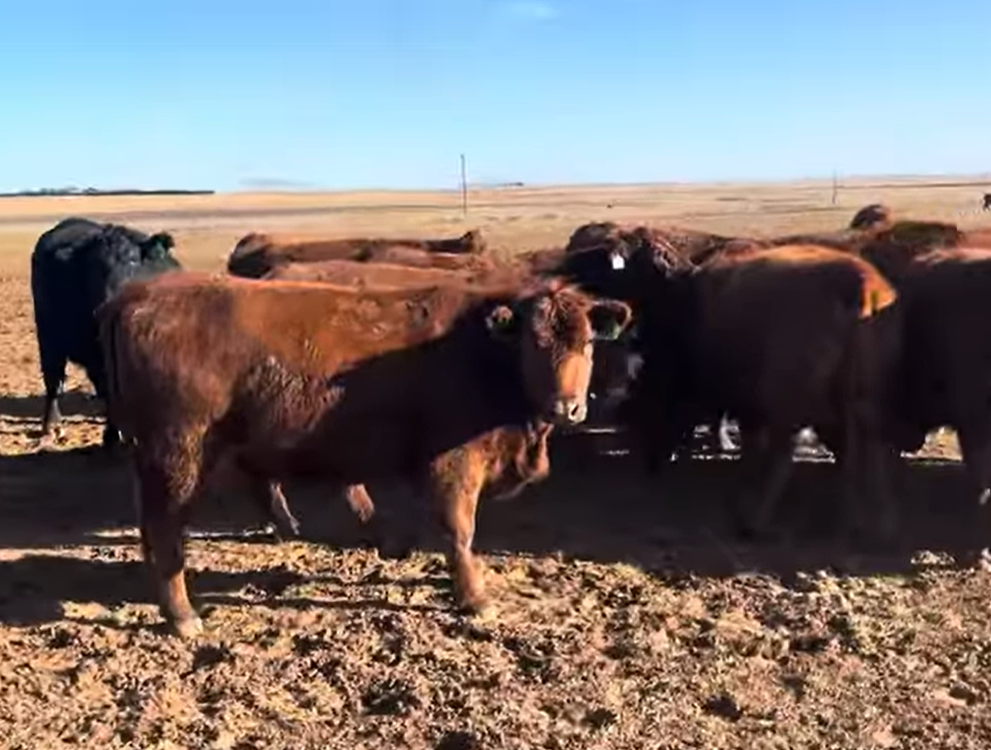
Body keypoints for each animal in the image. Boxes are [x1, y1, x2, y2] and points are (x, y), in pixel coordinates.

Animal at [30, 217, 181, 447]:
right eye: (94, 271)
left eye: (133, 262)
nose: (105, 305)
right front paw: (114, 435)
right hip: (49, 341)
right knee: (54, 384)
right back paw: (53, 427)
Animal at [97, 272, 632, 638]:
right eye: (534, 343)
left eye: (587, 343)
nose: (566, 407)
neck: (481, 350)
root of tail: (139, 295)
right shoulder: (452, 466)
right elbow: (459, 531)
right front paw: (475, 599)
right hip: (178, 456)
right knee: (165, 529)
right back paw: (183, 616)